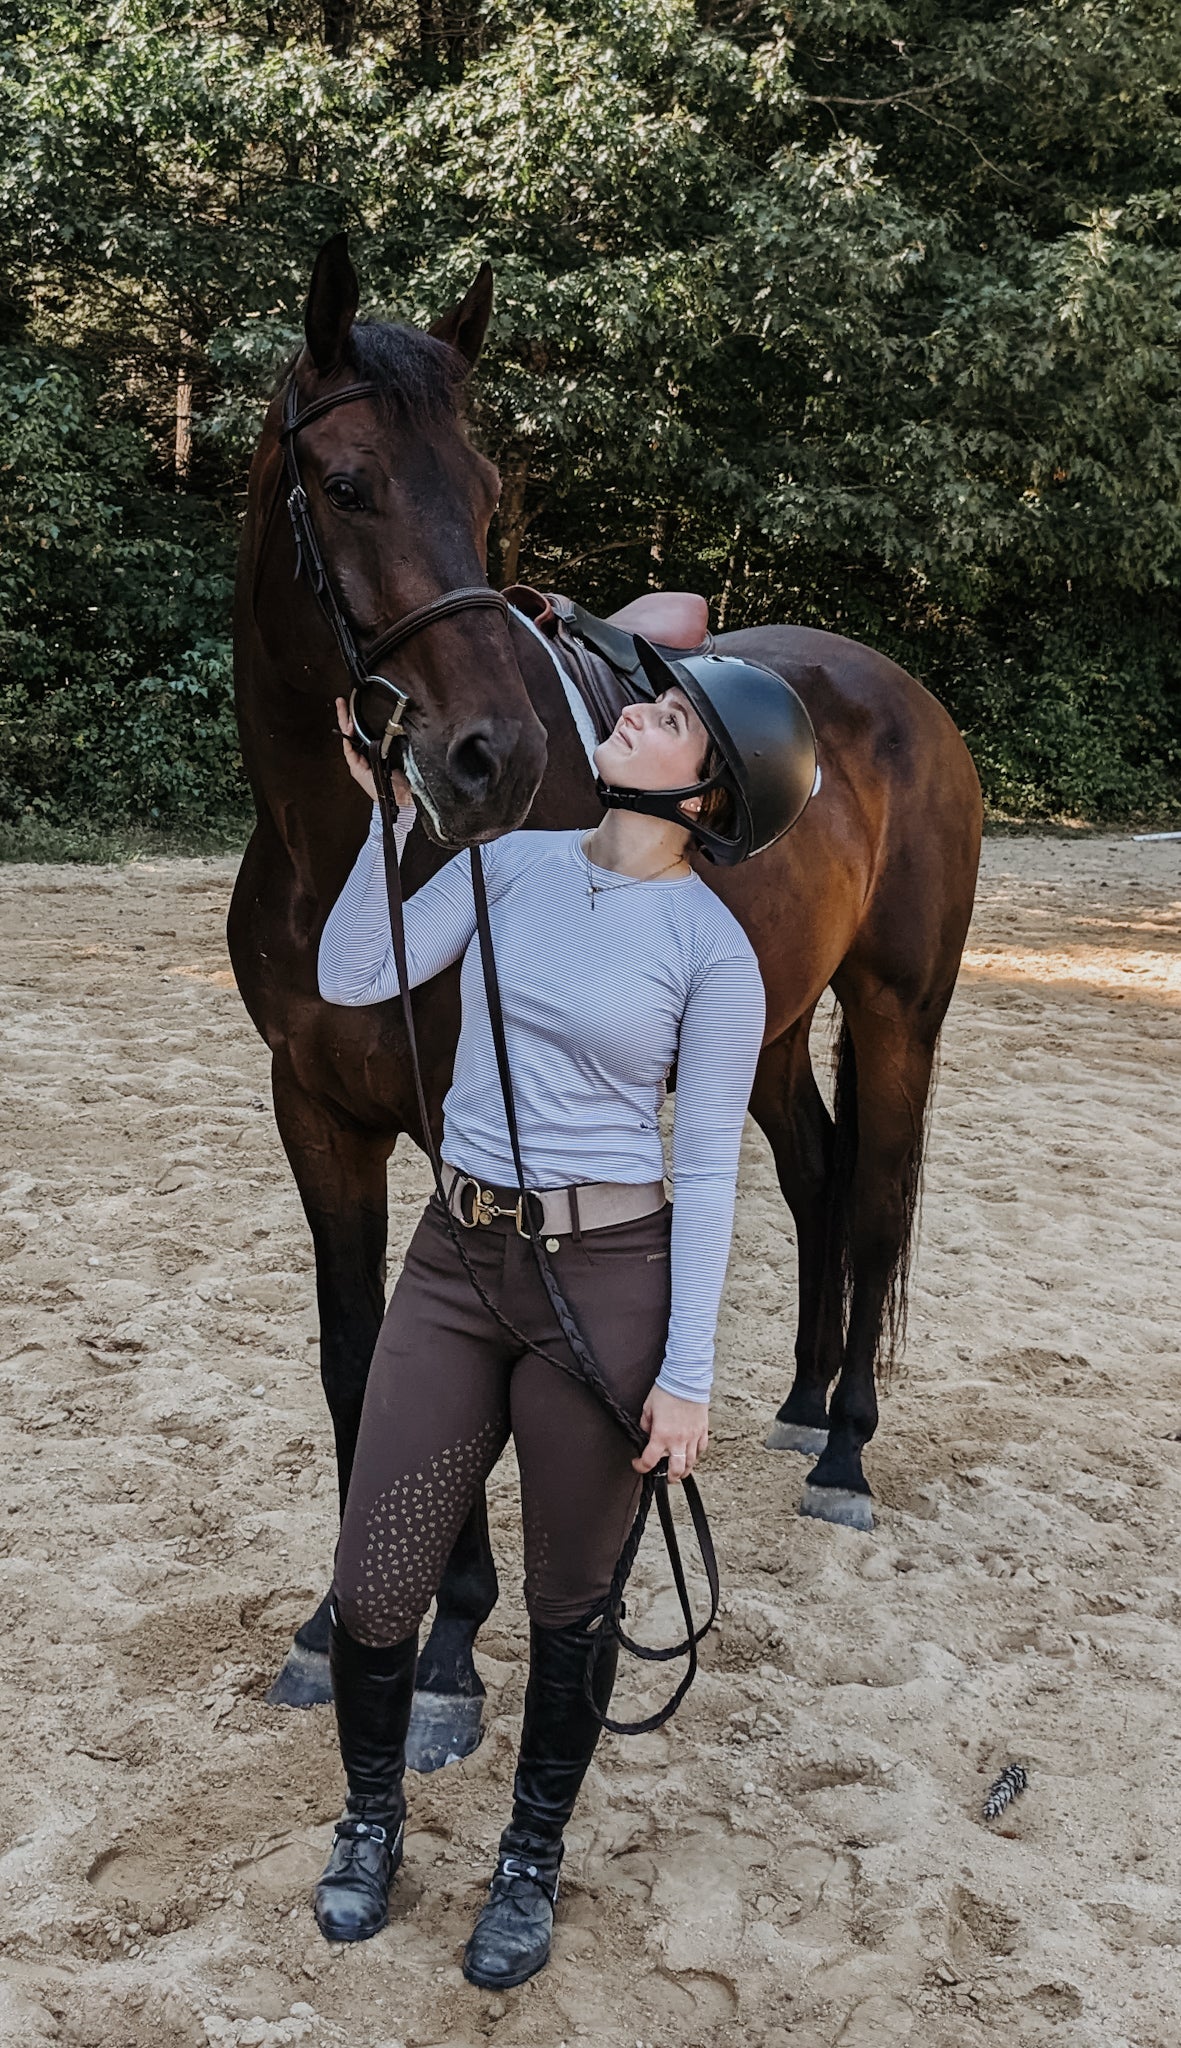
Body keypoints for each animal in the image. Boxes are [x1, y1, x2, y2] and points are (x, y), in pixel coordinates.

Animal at [225, 235, 982, 1744]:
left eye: (486, 496)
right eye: (345, 483)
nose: (489, 758)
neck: (344, 860)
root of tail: (904, 695)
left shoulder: (469, 1127)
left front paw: (451, 1643)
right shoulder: (315, 1115)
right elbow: (359, 1363)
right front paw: (336, 1621)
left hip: (896, 1012)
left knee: (873, 1198)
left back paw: (845, 1450)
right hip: (768, 1026)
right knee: (815, 1179)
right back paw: (798, 1400)